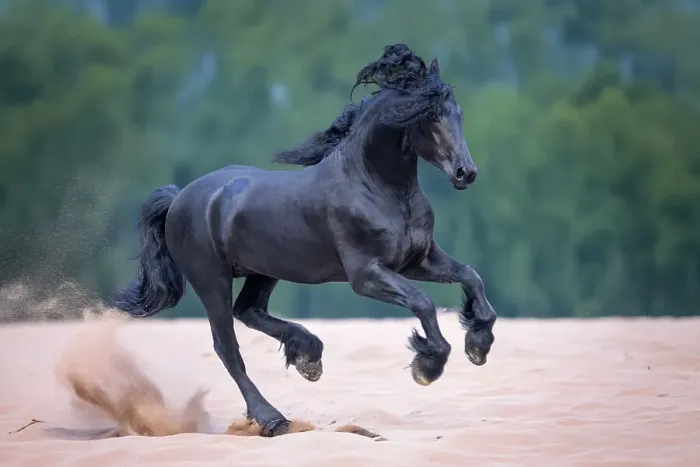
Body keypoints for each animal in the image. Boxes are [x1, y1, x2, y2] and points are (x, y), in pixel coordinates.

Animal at [111, 43, 497, 437]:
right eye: (429, 115)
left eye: (458, 113)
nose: (466, 173)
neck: (378, 187)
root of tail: (178, 199)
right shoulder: (366, 274)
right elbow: (422, 301)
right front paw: (427, 365)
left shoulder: (418, 260)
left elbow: (470, 276)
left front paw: (478, 344)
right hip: (211, 279)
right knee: (227, 346)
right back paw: (273, 418)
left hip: (263, 270)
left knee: (248, 311)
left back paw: (309, 355)